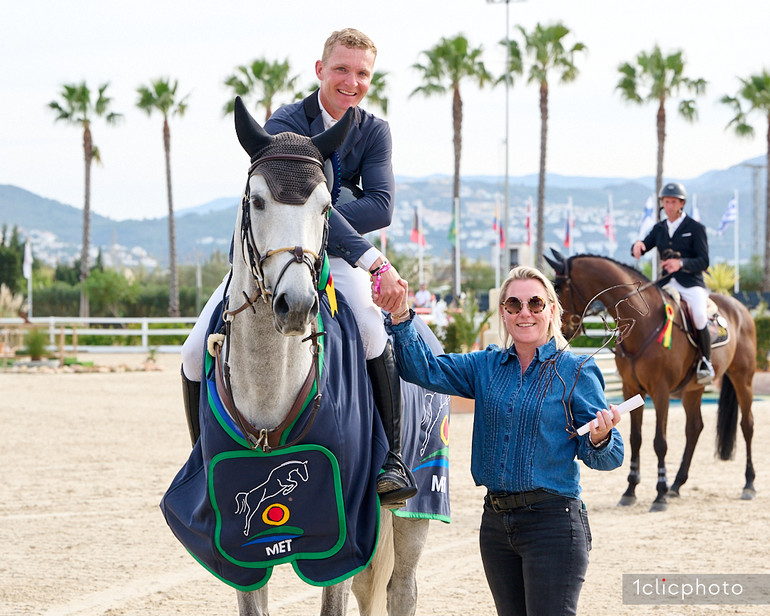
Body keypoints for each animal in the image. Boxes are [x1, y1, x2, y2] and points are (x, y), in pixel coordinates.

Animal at [219, 97, 428, 616]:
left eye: (325, 206)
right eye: (257, 201)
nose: (295, 305)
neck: (270, 384)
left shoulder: (343, 519)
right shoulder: (233, 534)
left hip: (416, 509)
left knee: (400, 589)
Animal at [544, 248, 756, 512]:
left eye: (560, 289)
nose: (559, 331)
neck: (642, 324)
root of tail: (739, 307)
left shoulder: (660, 391)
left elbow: (659, 442)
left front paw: (659, 494)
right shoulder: (631, 389)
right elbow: (636, 439)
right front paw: (630, 490)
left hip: (742, 378)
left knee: (747, 425)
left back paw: (748, 484)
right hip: (692, 389)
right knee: (694, 428)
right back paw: (677, 484)